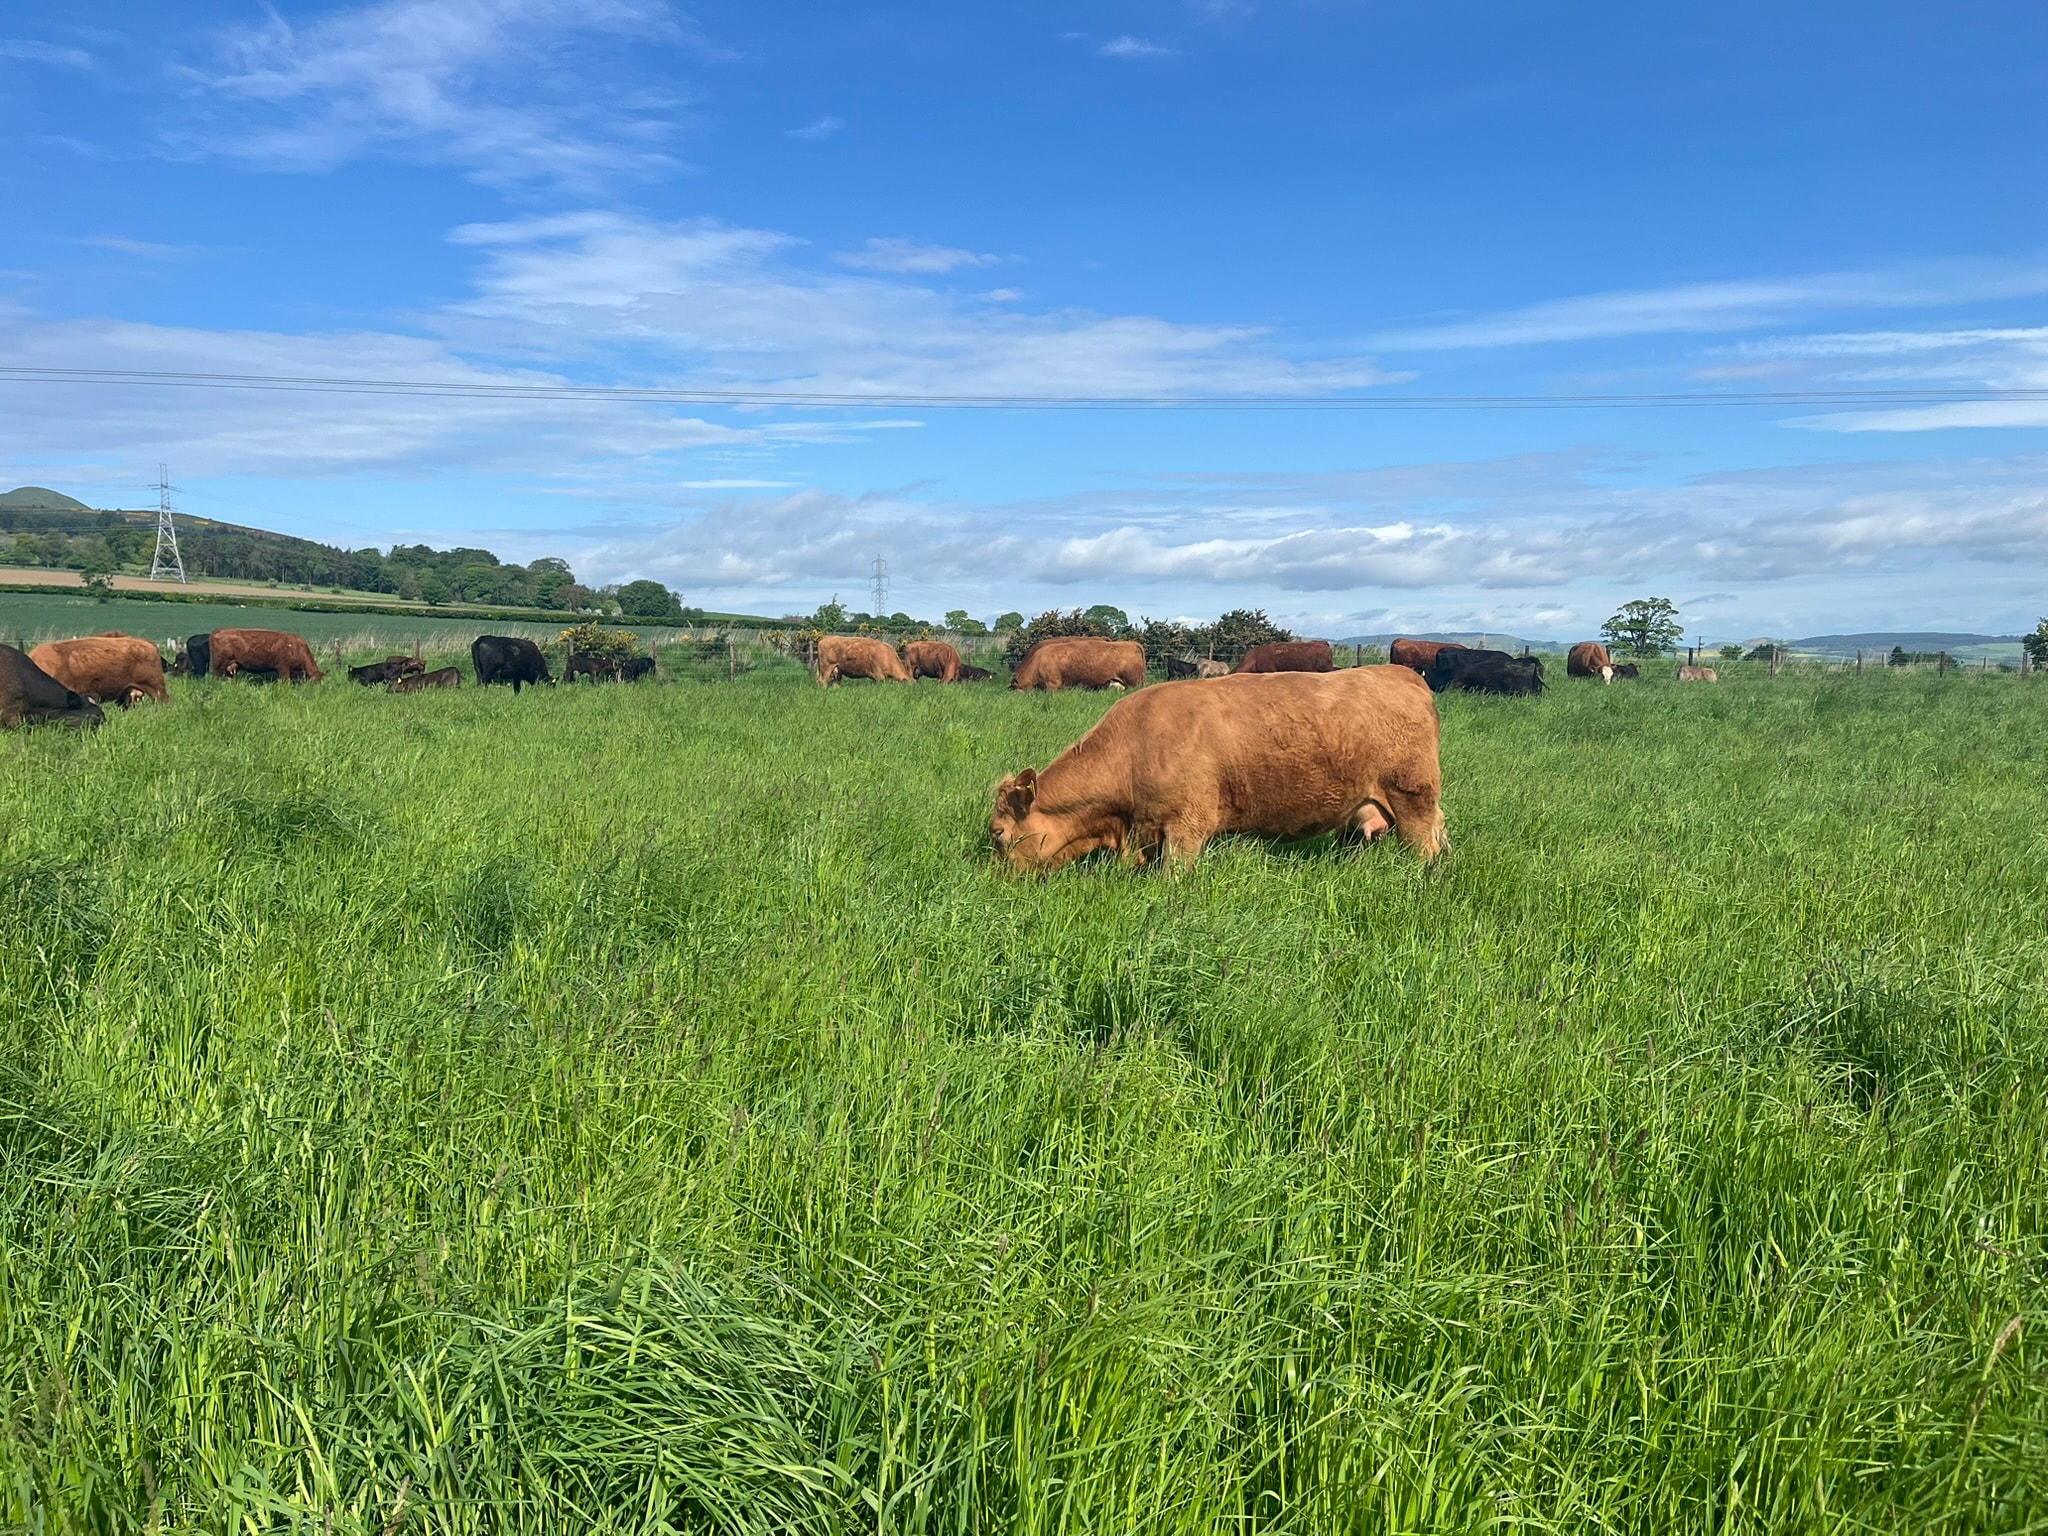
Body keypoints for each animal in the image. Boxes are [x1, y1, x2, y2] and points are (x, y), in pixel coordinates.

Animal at [991, 665, 1445, 872]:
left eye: (997, 833)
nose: (997, 881)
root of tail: (1399, 673)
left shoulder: (1186, 829)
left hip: (1413, 800)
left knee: (1426, 849)